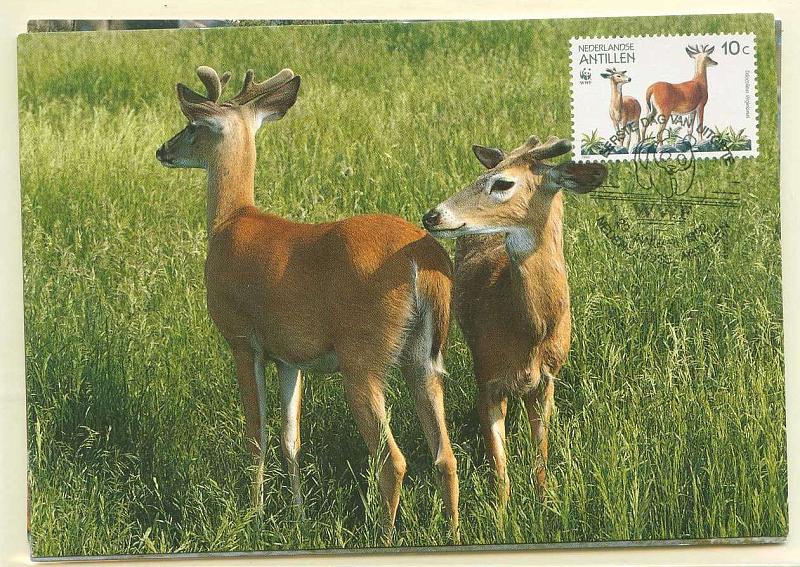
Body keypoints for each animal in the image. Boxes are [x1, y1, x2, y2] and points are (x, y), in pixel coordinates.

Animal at [156, 65, 459, 540]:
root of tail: (422, 264)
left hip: (363, 357)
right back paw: (457, 532)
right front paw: (297, 516)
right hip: (424, 358)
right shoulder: (290, 357)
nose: (162, 150)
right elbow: (291, 439)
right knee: (446, 455)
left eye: (191, 127)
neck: (231, 221)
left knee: (392, 459)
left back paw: (383, 535)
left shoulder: (243, 339)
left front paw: (255, 515)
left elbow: (257, 435)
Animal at [422, 136, 606, 516]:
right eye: (483, 175)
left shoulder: (547, 379)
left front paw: (544, 506)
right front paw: (502, 517)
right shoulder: (487, 379)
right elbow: (500, 466)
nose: (431, 216)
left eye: (503, 183)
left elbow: (541, 454)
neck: (528, 331)